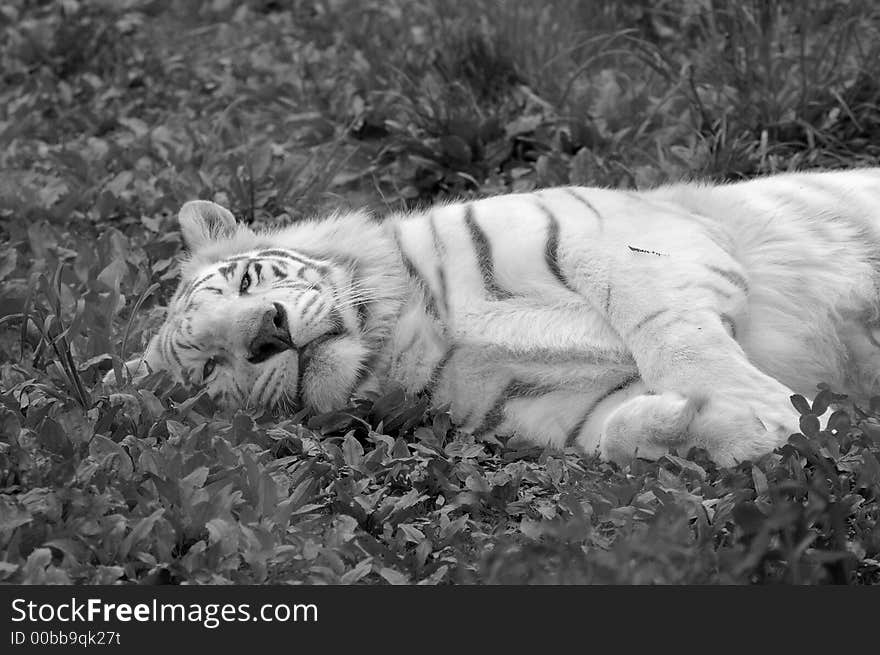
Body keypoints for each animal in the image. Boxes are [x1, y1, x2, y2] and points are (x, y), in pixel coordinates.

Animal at [110, 169, 880, 466]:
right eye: (209, 368)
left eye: (247, 279)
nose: (266, 330)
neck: (409, 338)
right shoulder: (572, 409)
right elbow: (619, 434)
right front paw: (776, 425)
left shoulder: (612, 234)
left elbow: (669, 327)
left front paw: (770, 407)